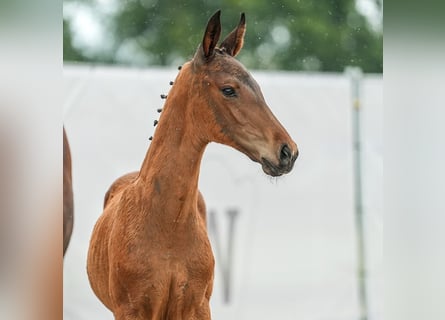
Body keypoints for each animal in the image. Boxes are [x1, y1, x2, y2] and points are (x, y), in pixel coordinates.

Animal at [86, 10, 296, 320]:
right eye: (229, 90)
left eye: (258, 87)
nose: (287, 151)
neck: (168, 225)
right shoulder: (132, 310)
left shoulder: (197, 307)